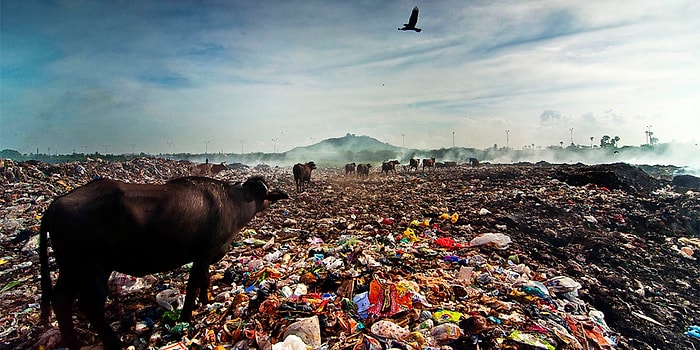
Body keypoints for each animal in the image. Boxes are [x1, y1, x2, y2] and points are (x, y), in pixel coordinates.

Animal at [39, 176, 288, 348]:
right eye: (261, 189)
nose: (278, 194)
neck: (232, 203)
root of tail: (55, 204)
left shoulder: (205, 257)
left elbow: (205, 280)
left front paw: (205, 301)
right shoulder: (202, 254)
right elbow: (193, 284)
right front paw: (186, 317)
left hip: (69, 268)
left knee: (61, 300)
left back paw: (72, 342)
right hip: (91, 268)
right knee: (89, 305)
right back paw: (113, 343)